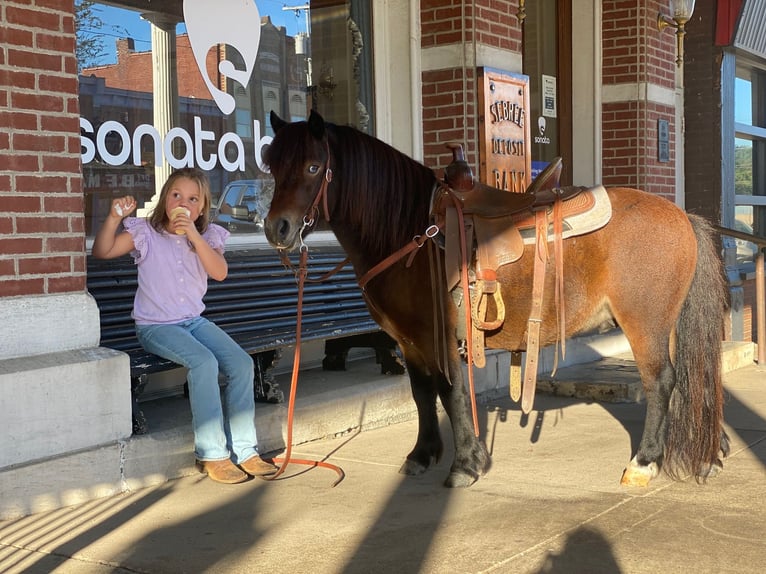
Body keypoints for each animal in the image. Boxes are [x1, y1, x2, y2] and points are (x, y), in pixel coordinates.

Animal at [264, 110, 732, 488]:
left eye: (313, 166)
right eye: (271, 165)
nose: (276, 228)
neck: (411, 233)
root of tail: (682, 216)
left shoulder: (439, 337)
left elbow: (449, 392)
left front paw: (465, 464)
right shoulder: (410, 342)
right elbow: (420, 393)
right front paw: (422, 455)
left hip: (644, 324)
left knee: (662, 381)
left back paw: (644, 462)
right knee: (693, 377)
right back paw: (712, 450)